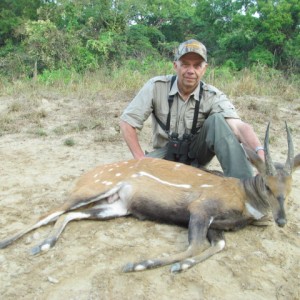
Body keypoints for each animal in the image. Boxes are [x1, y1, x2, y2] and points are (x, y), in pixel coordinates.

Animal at [0, 122, 298, 272]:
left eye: (290, 187)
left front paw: (180, 266)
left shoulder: (216, 225)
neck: (244, 198)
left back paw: (45, 245)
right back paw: (10, 242)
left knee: (68, 215)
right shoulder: (201, 209)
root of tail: (86, 174)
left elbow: (218, 246)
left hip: (115, 207)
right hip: (91, 189)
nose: (281, 221)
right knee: (50, 212)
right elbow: (195, 246)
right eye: (268, 185)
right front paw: (137, 264)